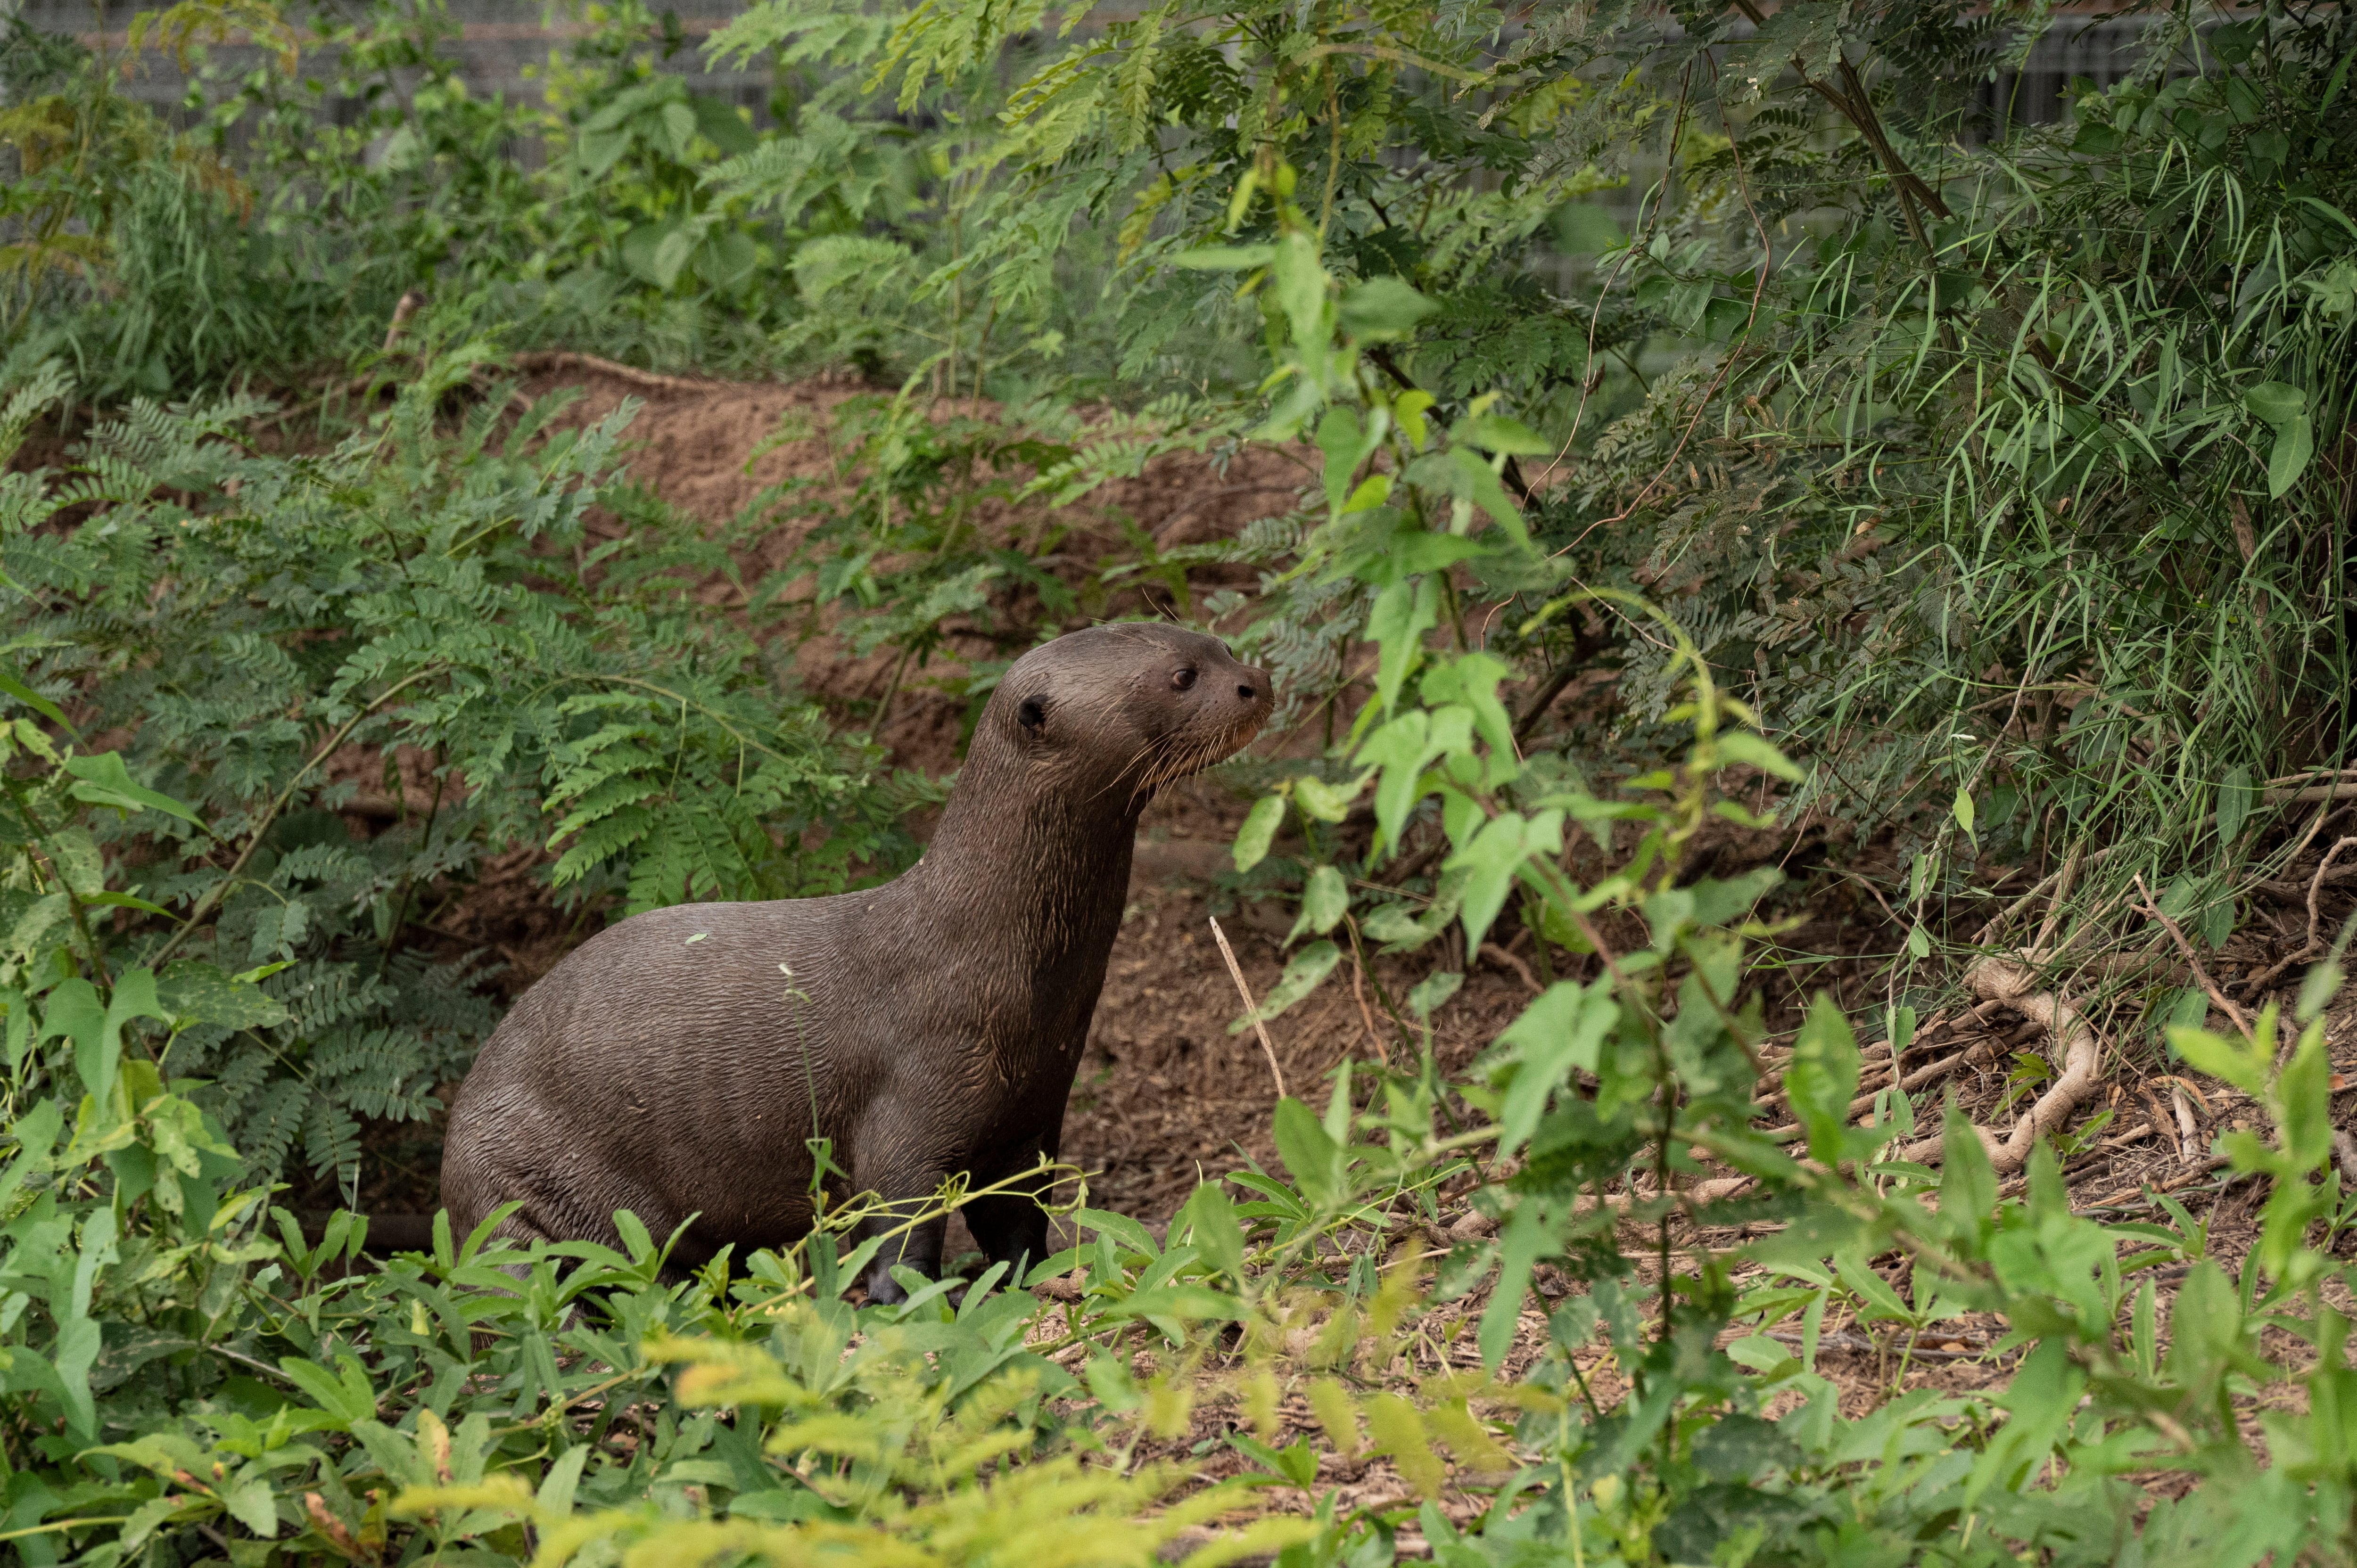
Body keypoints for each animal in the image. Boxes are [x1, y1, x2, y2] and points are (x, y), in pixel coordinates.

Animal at [431, 622, 1263, 1292]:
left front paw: (1026, 1280)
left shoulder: (1031, 1117)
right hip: (514, 1183)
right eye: (1181, 675)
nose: (1256, 683)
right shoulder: (914, 1096)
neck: (1003, 971)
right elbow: (899, 1218)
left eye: (1219, 643)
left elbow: (1016, 1223)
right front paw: (911, 1299)